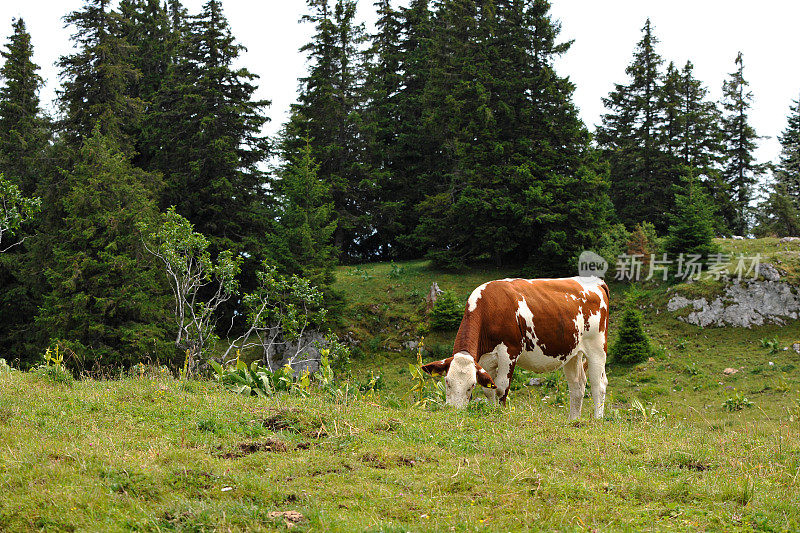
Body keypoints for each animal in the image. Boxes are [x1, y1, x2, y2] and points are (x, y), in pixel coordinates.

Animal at [422, 274, 608, 420]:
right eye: (447, 381)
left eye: (471, 386)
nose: (454, 411)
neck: (490, 308)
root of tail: (597, 281)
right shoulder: (486, 359)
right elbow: (489, 390)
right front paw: (491, 411)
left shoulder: (509, 351)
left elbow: (501, 387)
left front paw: (500, 413)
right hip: (572, 353)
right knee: (577, 385)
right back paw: (573, 420)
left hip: (597, 347)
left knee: (598, 384)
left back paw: (597, 420)